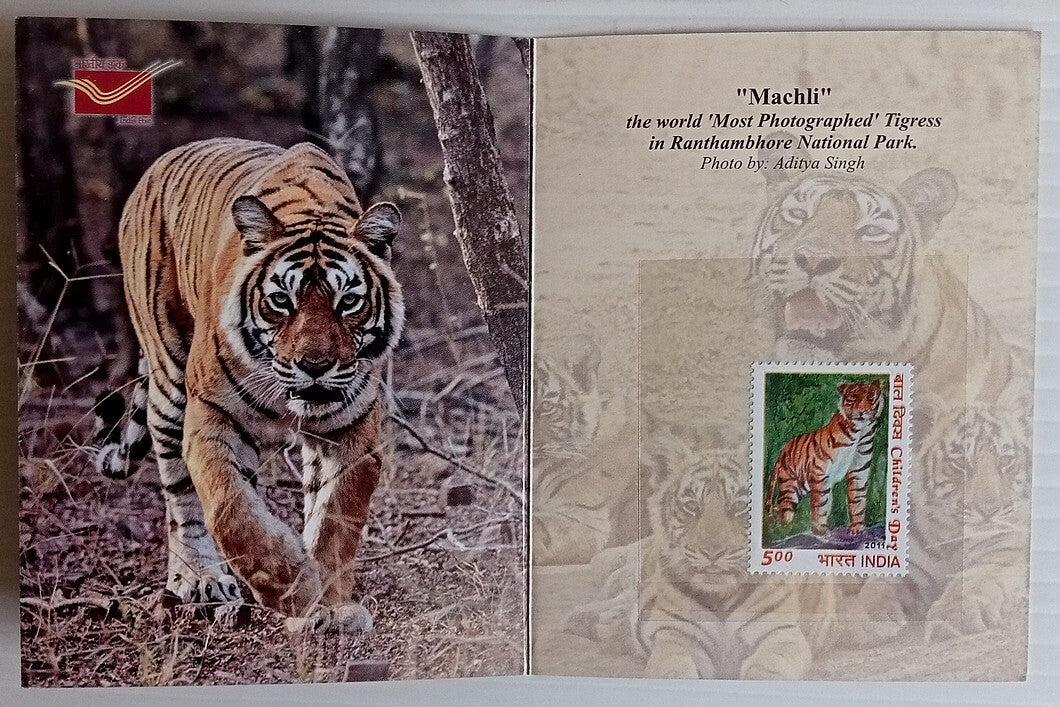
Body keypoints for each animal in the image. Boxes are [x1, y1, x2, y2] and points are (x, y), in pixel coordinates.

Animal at [93, 138, 404, 631]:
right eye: (281, 300)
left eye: (348, 302)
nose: (314, 365)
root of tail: (160, 162)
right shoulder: (211, 416)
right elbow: (228, 508)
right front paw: (291, 590)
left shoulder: (352, 431)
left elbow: (336, 518)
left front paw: (331, 607)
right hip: (168, 382)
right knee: (181, 498)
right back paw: (199, 579)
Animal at [765, 380, 883, 536]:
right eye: (853, 397)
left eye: (870, 396)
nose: (862, 412)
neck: (861, 431)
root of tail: (783, 449)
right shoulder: (820, 474)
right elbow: (821, 504)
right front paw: (820, 529)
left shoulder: (859, 471)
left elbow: (857, 500)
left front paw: (857, 528)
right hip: (789, 486)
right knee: (783, 508)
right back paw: (781, 530)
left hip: (800, 486)